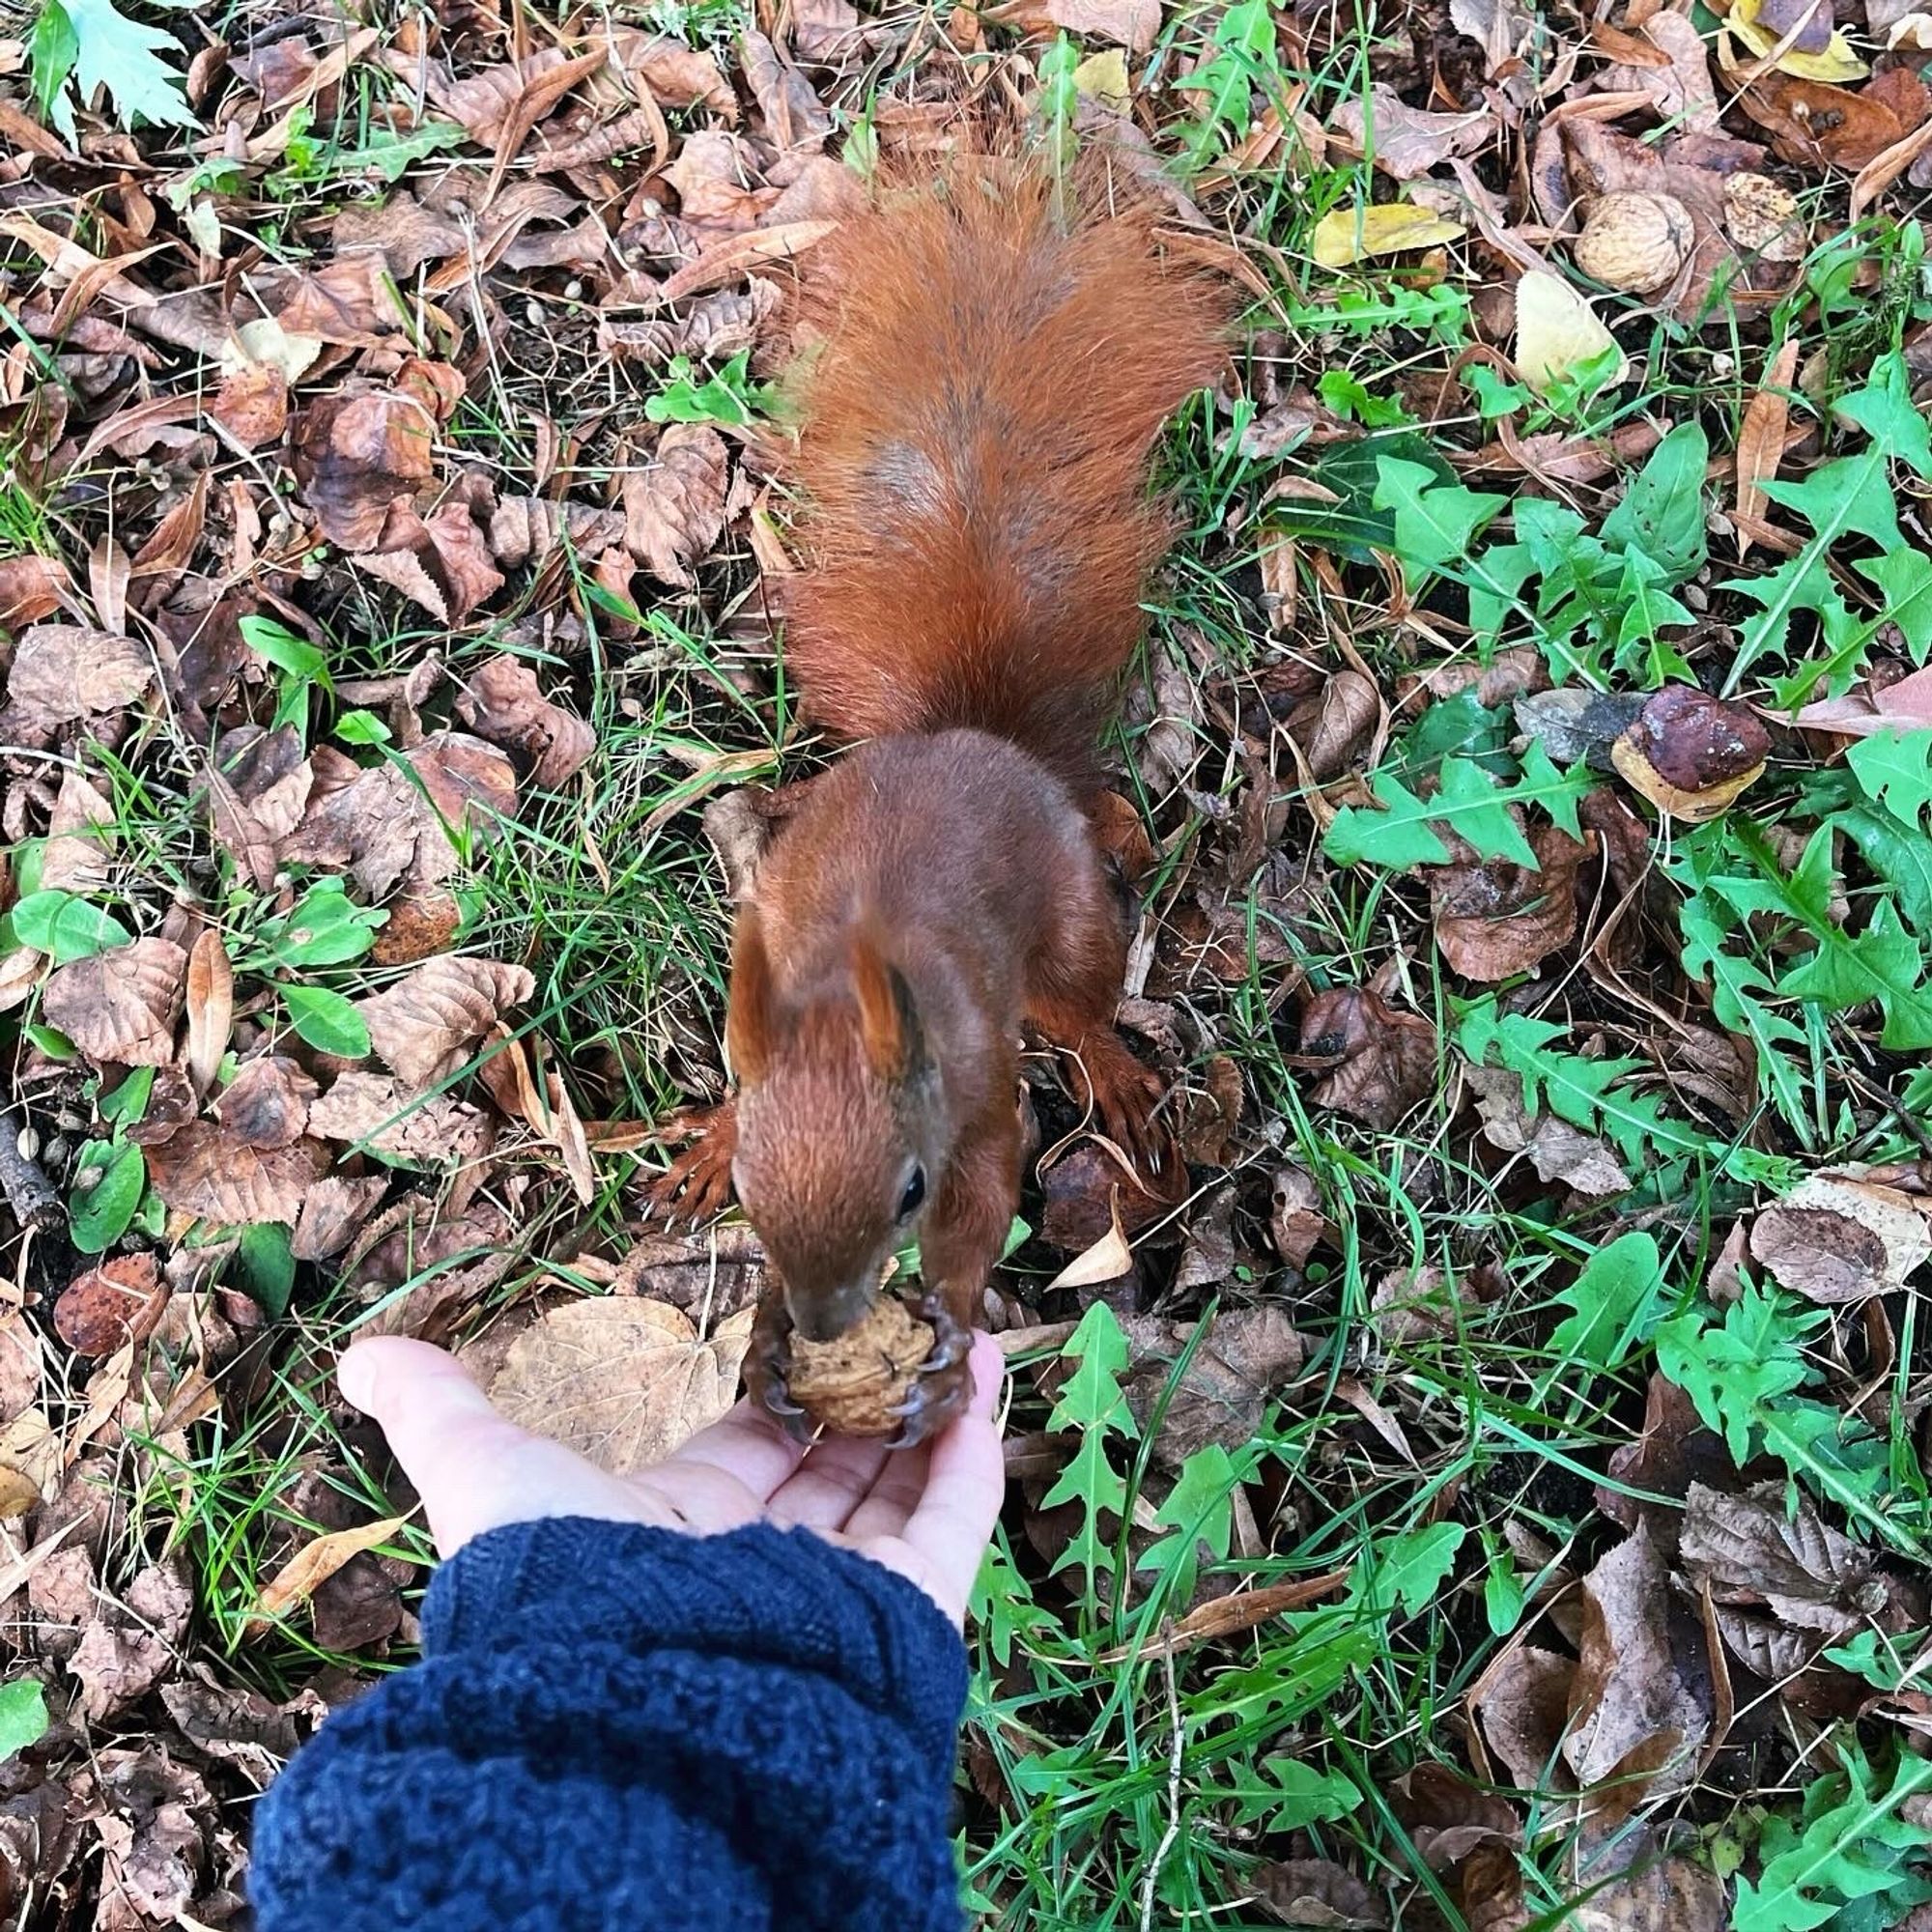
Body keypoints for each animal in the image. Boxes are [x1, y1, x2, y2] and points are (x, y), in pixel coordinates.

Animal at [645, 151, 1221, 1445]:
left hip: (1070, 922)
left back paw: (1113, 1066)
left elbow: (987, 1197)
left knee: (1079, 1002)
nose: (819, 1317)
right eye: (757, 1192)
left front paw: (949, 1334)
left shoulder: (978, 1097)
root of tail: (971, 736)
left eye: (908, 1187)